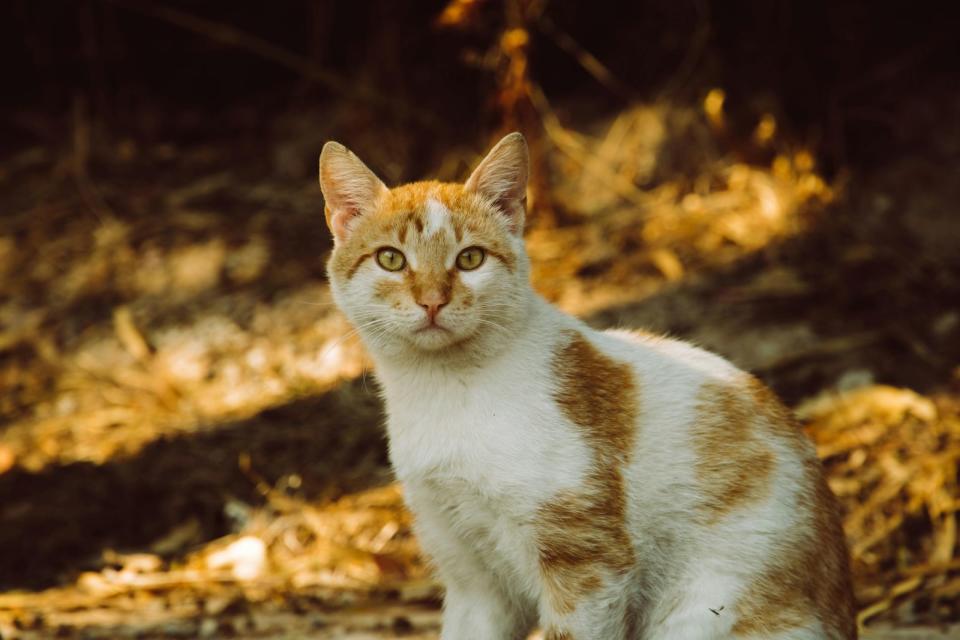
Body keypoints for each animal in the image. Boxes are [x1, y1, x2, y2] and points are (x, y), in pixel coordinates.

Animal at [318, 132, 860, 636]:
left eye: (470, 259)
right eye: (391, 259)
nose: (432, 300)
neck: (444, 391)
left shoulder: (589, 566)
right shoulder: (473, 579)